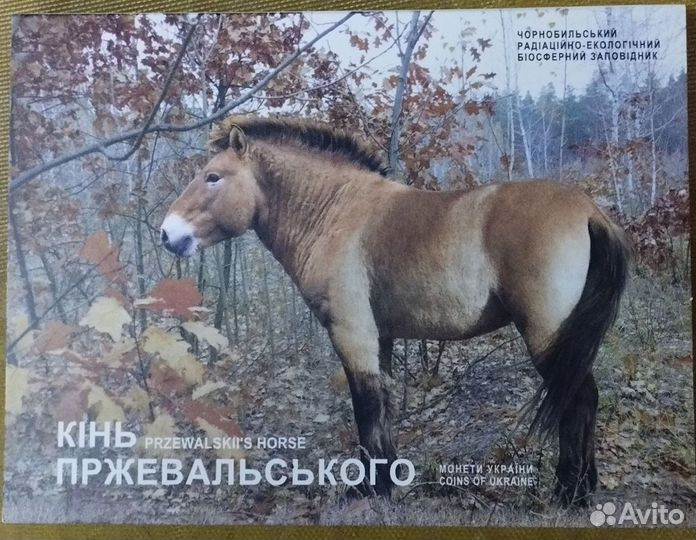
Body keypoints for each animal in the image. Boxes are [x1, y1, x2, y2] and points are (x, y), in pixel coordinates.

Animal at [160, 116, 629, 505]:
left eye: (213, 177)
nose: (167, 234)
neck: (336, 213)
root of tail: (589, 211)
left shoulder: (352, 333)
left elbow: (365, 405)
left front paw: (368, 489)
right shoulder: (379, 337)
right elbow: (382, 403)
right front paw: (384, 482)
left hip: (548, 336)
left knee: (577, 398)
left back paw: (570, 493)